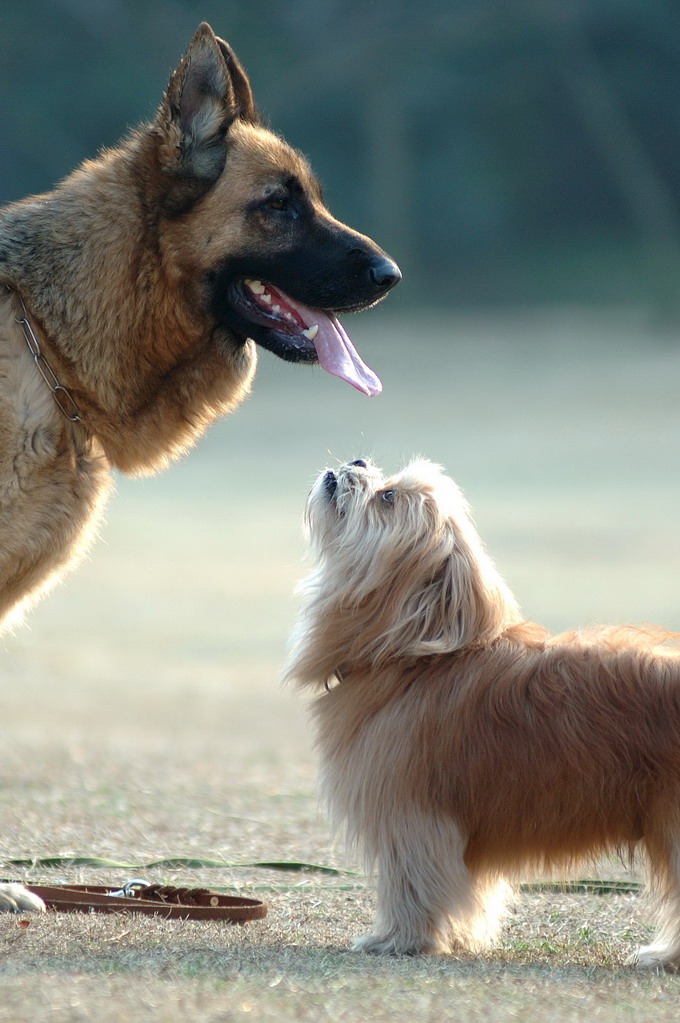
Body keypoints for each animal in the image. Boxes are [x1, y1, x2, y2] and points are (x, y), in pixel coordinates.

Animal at [284, 458, 678, 965]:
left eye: (388, 497)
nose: (357, 462)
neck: (412, 660)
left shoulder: (409, 814)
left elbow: (412, 881)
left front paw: (400, 939)